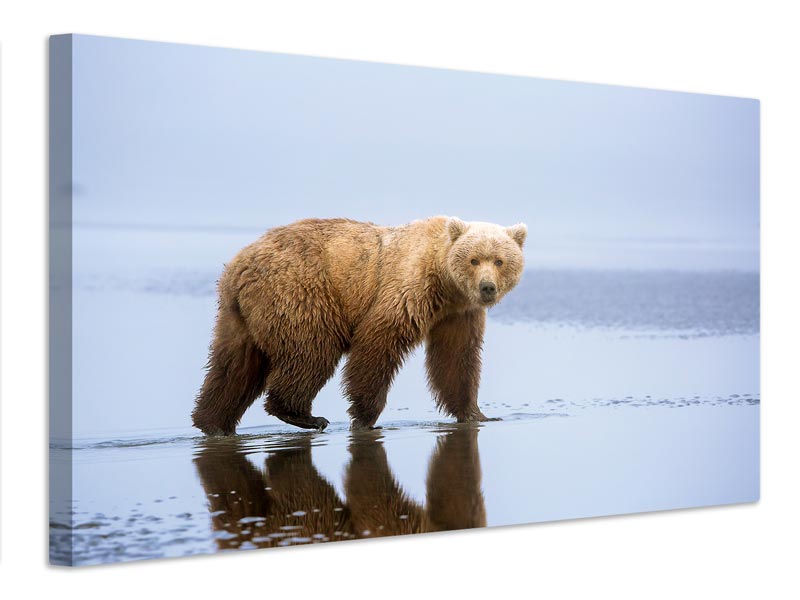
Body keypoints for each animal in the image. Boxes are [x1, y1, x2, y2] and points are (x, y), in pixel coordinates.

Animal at [191, 216, 527, 435]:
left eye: (499, 260)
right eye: (474, 259)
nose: (487, 288)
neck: (445, 284)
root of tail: (239, 266)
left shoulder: (458, 314)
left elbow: (457, 360)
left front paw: (478, 414)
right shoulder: (408, 288)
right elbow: (378, 342)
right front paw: (364, 417)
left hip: (239, 316)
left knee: (233, 366)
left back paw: (213, 423)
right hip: (300, 292)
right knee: (312, 351)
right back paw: (306, 415)